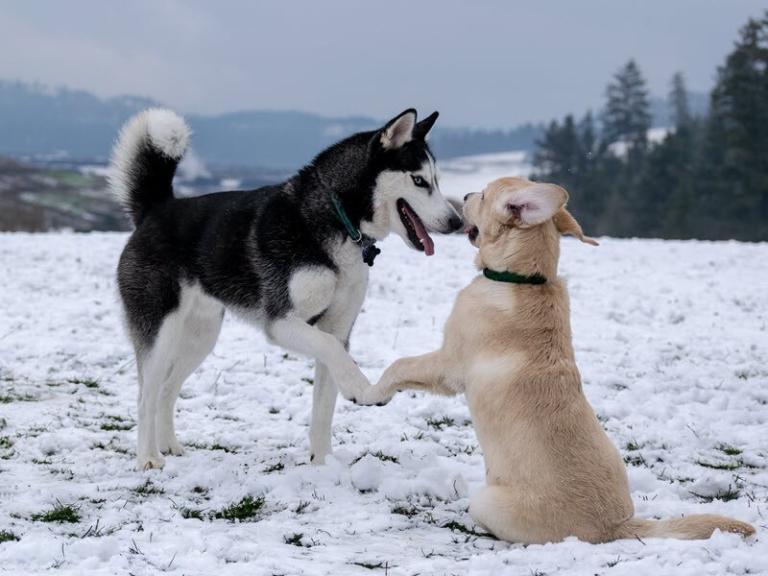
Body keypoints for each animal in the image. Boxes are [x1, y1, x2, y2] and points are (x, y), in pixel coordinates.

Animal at [362, 177, 756, 544]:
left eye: (485, 196)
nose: (468, 195)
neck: (522, 279)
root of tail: (617, 527)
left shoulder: (449, 364)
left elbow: (400, 365)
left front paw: (373, 393)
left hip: (485, 500)